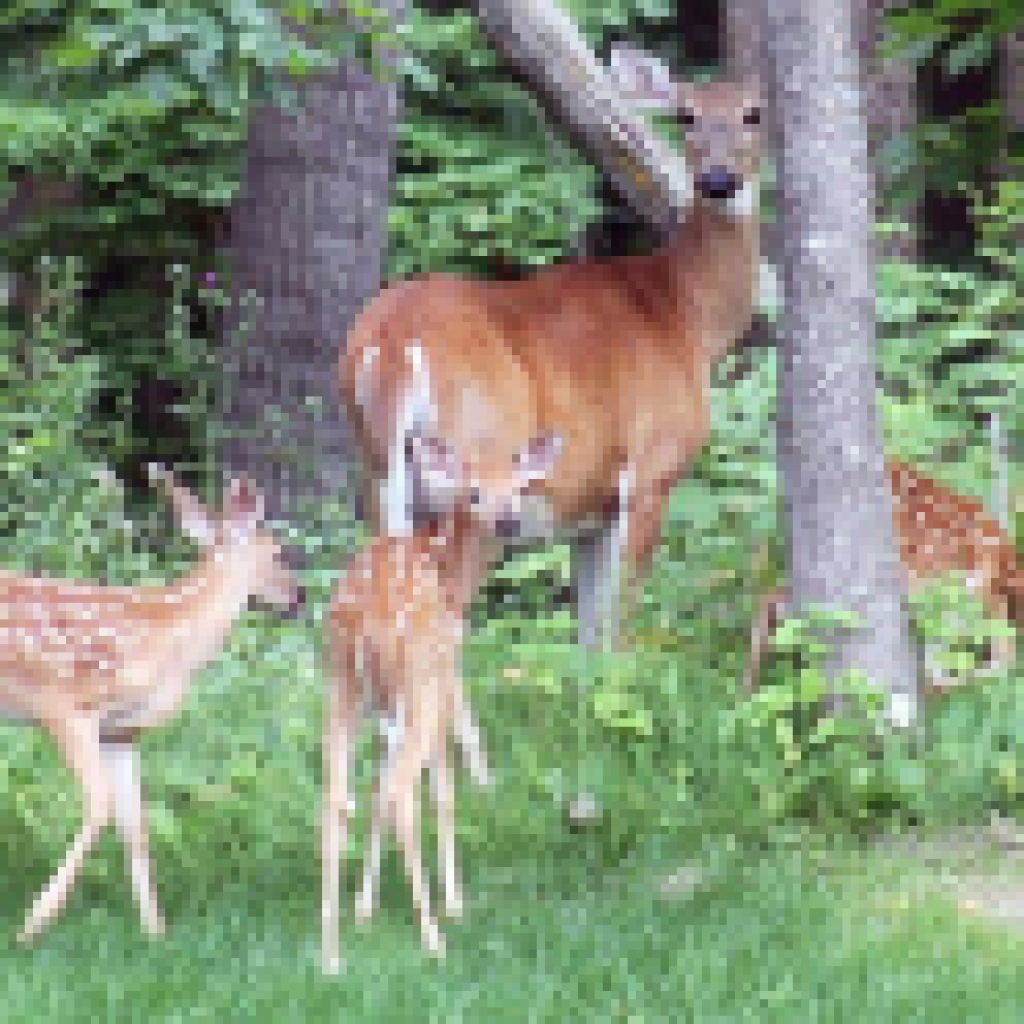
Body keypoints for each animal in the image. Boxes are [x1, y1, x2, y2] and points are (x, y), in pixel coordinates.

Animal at [0, 466, 303, 944]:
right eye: (276, 552)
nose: (298, 596)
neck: (170, 640)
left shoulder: (122, 730)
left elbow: (136, 824)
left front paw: (155, 931)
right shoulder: (63, 703)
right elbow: (100, 803)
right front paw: (33, 924)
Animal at [322, 429, 563, 972]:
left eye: (519, 486)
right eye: (473, 492)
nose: (508, 519)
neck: (454, 578)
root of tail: (369, 624)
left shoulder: (388, 704)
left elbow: (375, 787)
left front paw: (363, 908)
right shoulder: (445, 672)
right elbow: (444, 788)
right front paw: (454, 901)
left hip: (342, 684)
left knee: (337, 797)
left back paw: (329, 955)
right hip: (418, 682)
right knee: (403, 793)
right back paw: (434, 939)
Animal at [340, 44, 762, 659]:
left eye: (755, 113)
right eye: (685, 114)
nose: (718, 179)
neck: (687, 315)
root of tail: (393, 345)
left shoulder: (591, 509)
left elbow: (588, 639)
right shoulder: (652, 467)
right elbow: (622, 625)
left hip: (376, 474)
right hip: (478, 476)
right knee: (443, 612)